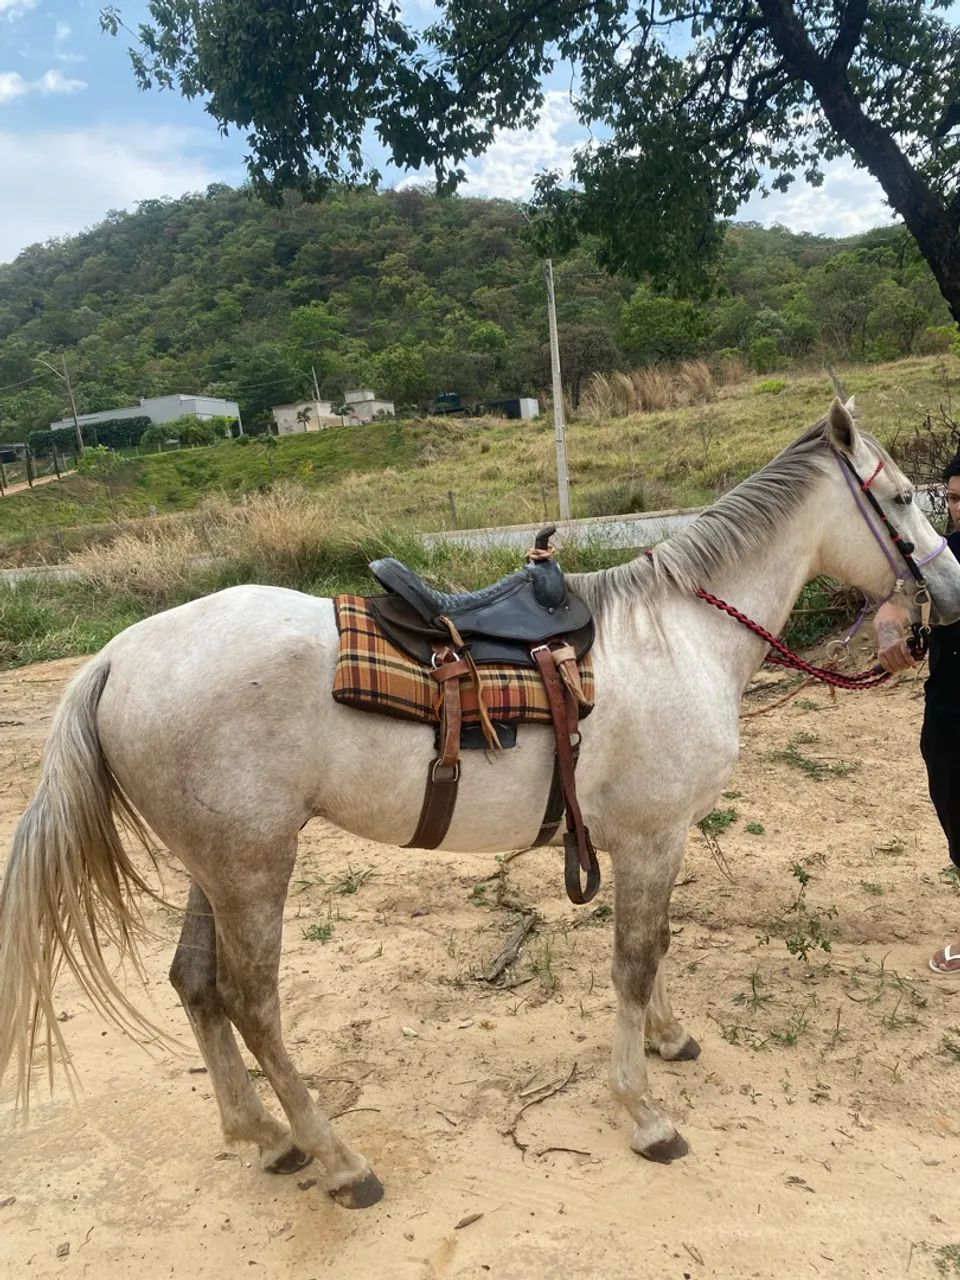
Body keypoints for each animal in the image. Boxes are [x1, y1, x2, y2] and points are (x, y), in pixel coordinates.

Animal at [2, 400, 959, 1209]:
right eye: (900, 499)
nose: (950, 591)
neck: (680, 635)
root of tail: (117, 656)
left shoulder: (653, 839)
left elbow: (654, 949)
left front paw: (669, 1039)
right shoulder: (653, 836)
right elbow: (633, 960)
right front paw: (644, 1113)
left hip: (215, 865)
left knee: (195, 984)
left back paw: (267, 1138)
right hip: (251, 869)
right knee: (252, 1003)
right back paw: (341, 1162)